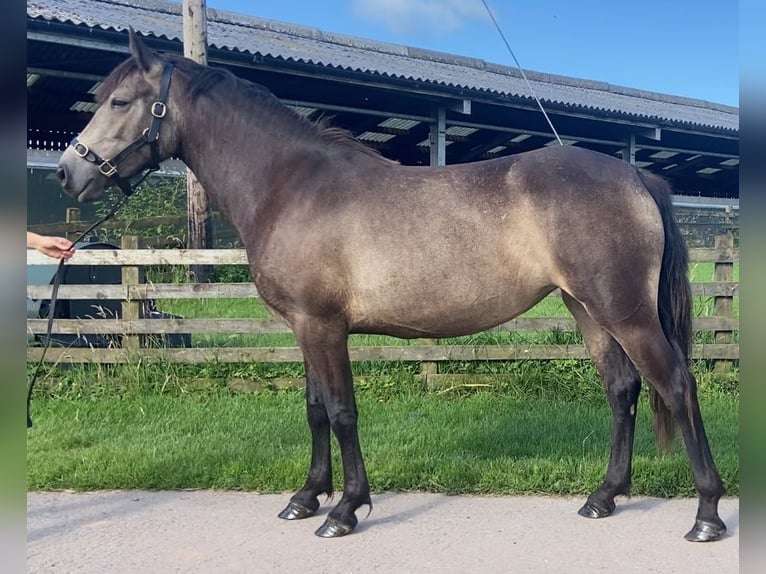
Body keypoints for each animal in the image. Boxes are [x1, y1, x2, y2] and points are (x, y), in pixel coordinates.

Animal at [56, 30, 726, 541]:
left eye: (120, 101)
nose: (67, 173)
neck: (290, 184)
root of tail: (634, 174)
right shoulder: (304, 328)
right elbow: (314, 408)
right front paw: (306, 497)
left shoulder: (324, 326)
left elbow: (342, 411)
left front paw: (345, 510)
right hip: (587, 308)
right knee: (622, 389)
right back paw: (603, 497)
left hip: (625, 312)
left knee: (676, 384)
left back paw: (706, 514)